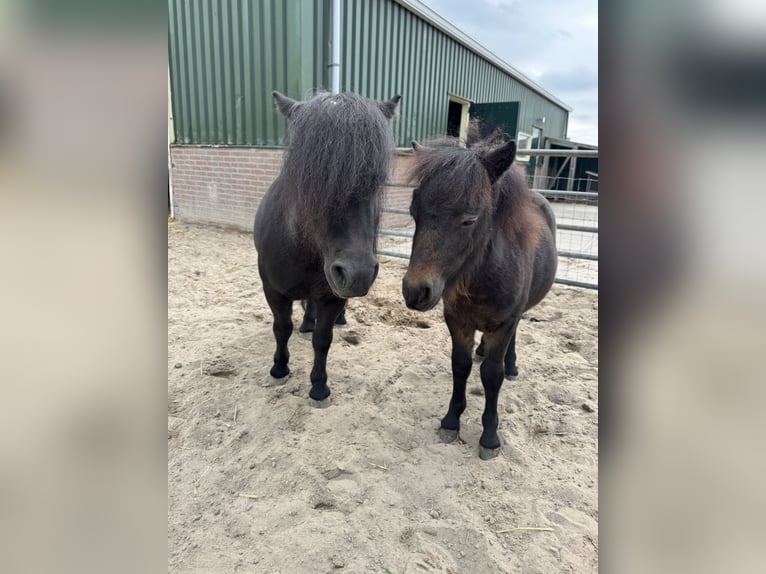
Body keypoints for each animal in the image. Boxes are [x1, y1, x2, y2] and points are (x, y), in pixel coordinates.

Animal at [254, 91, 400, 404]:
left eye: (376, 180)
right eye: (309, 177)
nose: (357, 274)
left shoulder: (332, 295)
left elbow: (323, 340)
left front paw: (319, 386)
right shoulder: (272, 290)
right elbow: (281, 328)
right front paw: (279, 367)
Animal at [401, 137, 557, 459]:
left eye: (469, 219)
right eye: (413, 210)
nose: (415, 291)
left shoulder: (504, 323)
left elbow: (491, 376)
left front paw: (489, 437)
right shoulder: (457, 320)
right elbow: (460, 365)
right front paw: (451, 421)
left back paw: (511, 366)